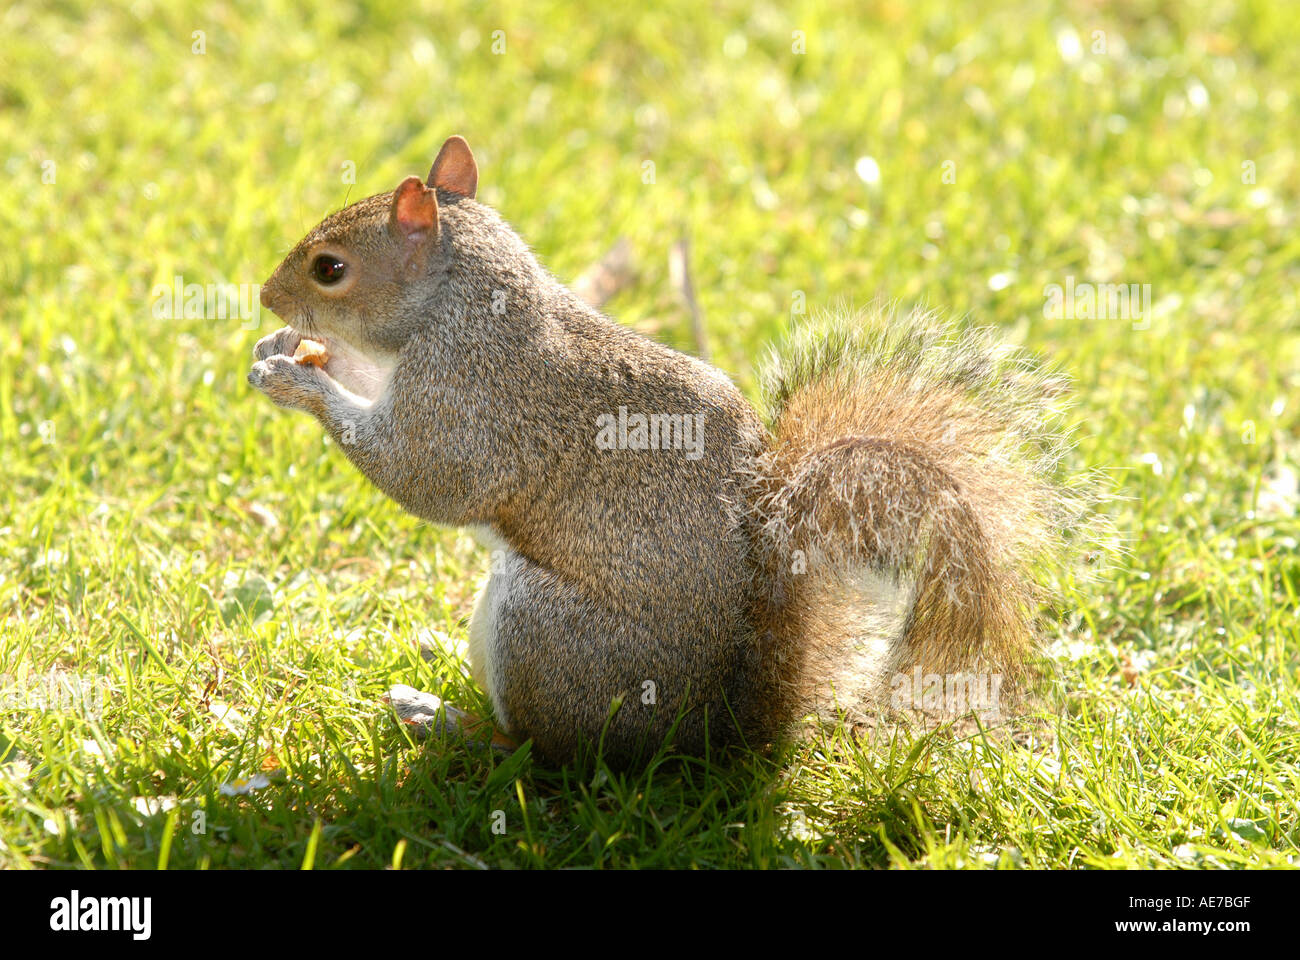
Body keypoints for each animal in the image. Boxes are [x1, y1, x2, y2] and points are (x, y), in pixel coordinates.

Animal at [249, 135, 1093, 767]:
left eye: (330, 269)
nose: (263, 296)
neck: (463, 308)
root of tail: (714, 734)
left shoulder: (473, 405)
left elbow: (424, 479)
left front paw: (295, 380)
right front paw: (291, 348)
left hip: (547, 636)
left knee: (535, 751)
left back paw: (443, 721)